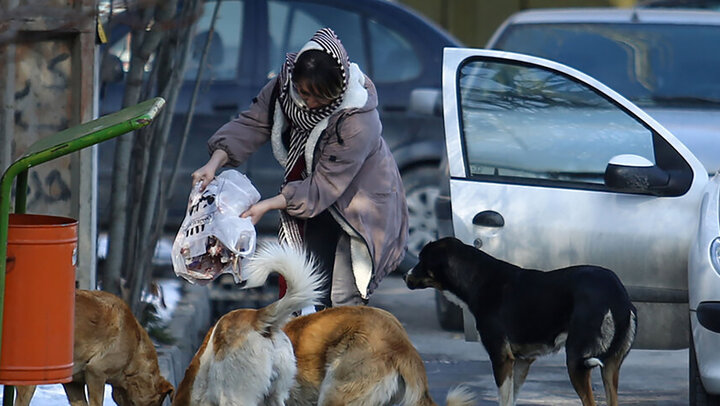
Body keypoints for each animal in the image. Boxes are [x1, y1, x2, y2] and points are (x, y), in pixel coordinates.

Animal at [404, 238, 636, 406]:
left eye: (421, 259)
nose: (405, 276)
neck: (477, 278)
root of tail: (617, 295)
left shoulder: (501, 359)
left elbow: (503, 399)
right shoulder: (522, 361)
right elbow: (511, 400)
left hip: (576, 361)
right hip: (610, 367)